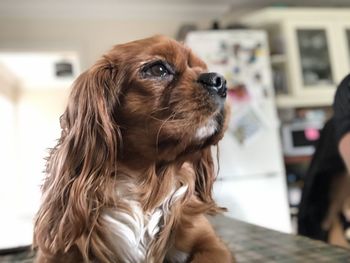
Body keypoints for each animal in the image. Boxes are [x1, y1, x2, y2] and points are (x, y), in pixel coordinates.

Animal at [33, 35, 235, 263]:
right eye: (158, 69)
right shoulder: (57, 251)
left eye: (202, 68)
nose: (219, 81)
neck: (146, 185)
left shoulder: (212, 244)